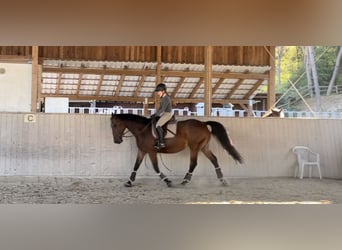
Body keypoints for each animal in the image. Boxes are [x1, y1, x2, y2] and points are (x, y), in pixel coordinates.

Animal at [110, 113, 243, 188]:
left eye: (115, 125)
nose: (116, 141)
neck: (142, 130)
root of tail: (204, 124)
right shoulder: (142, 151)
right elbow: (136, 166)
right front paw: (129, 182)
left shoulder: (152, 152)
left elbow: (155, 167)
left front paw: (167, 181)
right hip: (203, 147)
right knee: (214, 159)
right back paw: (222, 180)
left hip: (194, 147)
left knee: (193, 163)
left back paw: (185, 181)